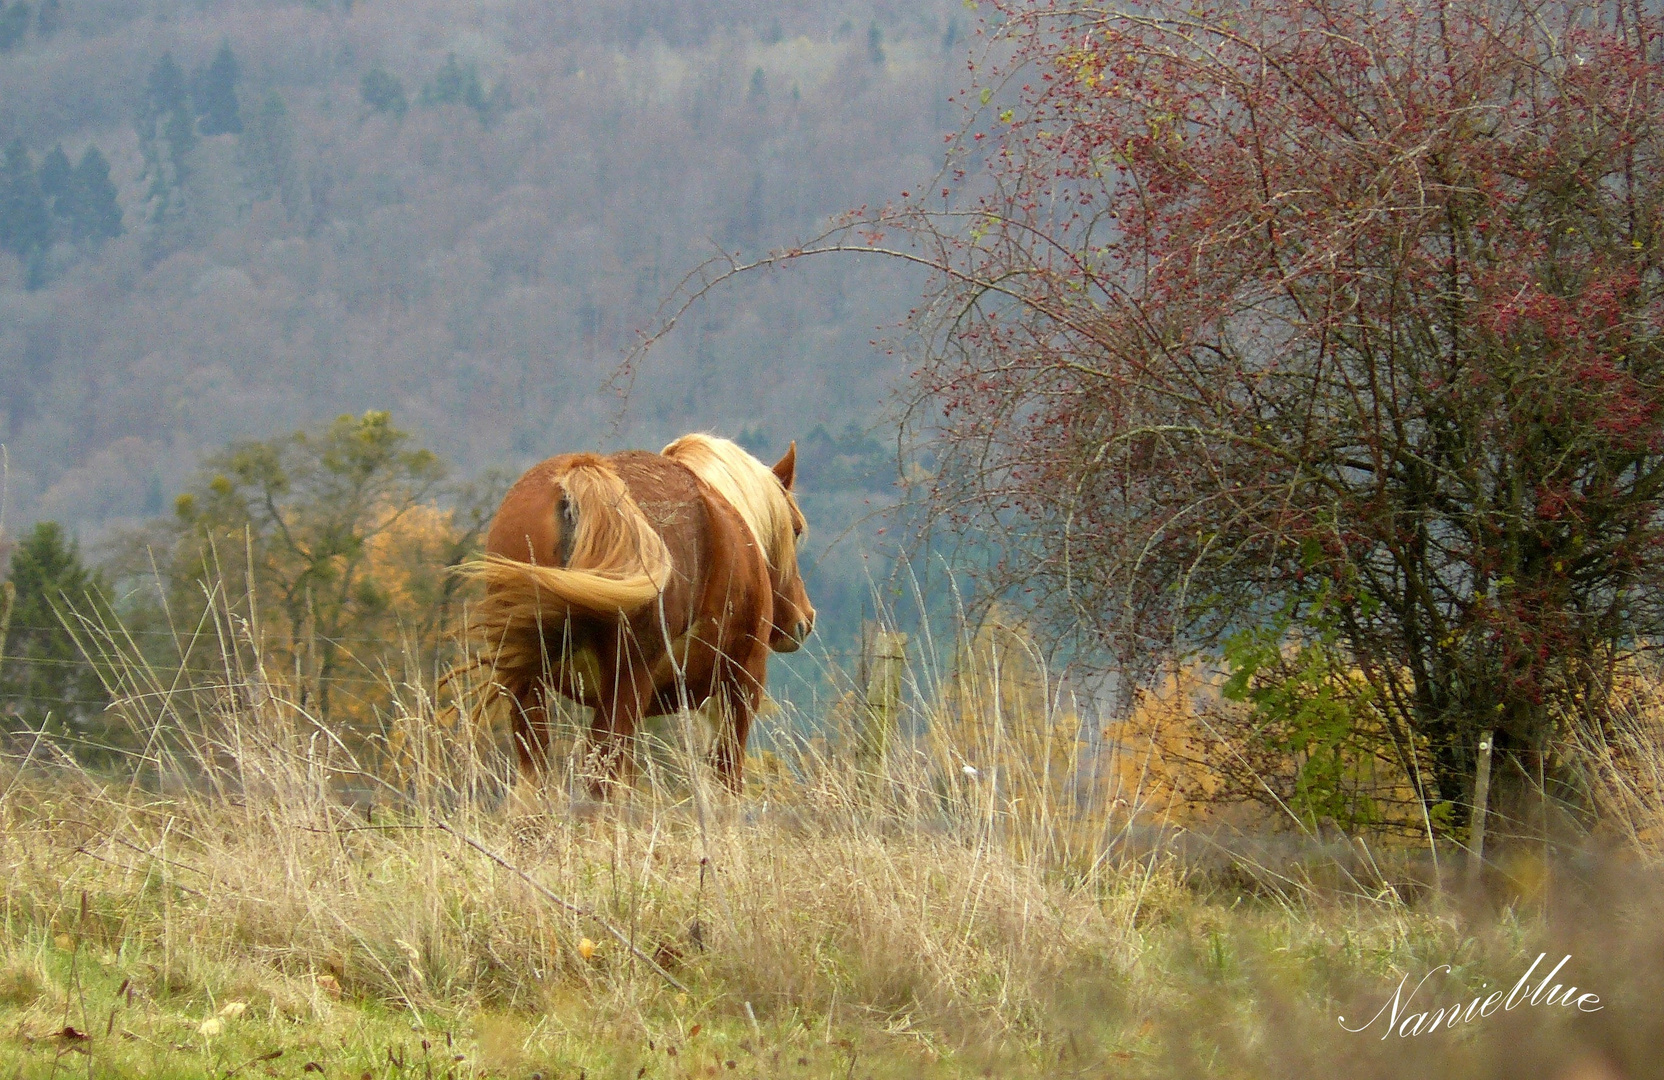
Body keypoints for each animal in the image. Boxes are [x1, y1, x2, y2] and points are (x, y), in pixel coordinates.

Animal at [459, 429, 815, 792]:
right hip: (627, 682)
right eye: (796, 529)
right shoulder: (741, 686)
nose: (805, 619)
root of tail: (582, 476)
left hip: (528, 684)